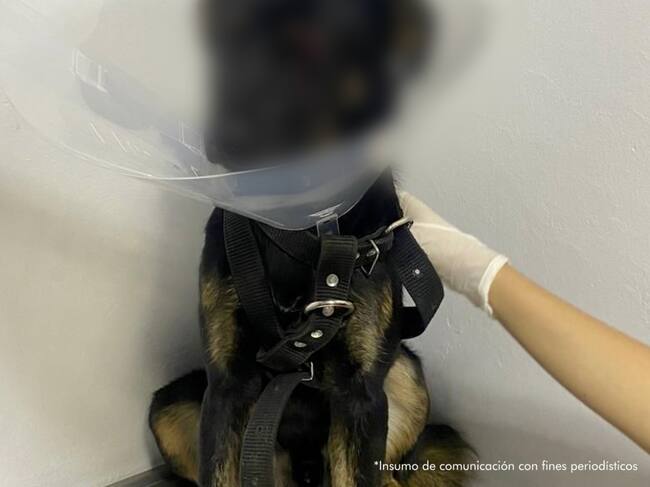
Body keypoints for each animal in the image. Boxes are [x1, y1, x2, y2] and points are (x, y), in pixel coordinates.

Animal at [149, 1, 474, 486]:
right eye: (225, 36)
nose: (227, 137)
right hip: (170, 406)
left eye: (311, 47)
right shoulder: (226, 385)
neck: (295, 221)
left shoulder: (361, 395)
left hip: (405, 377)